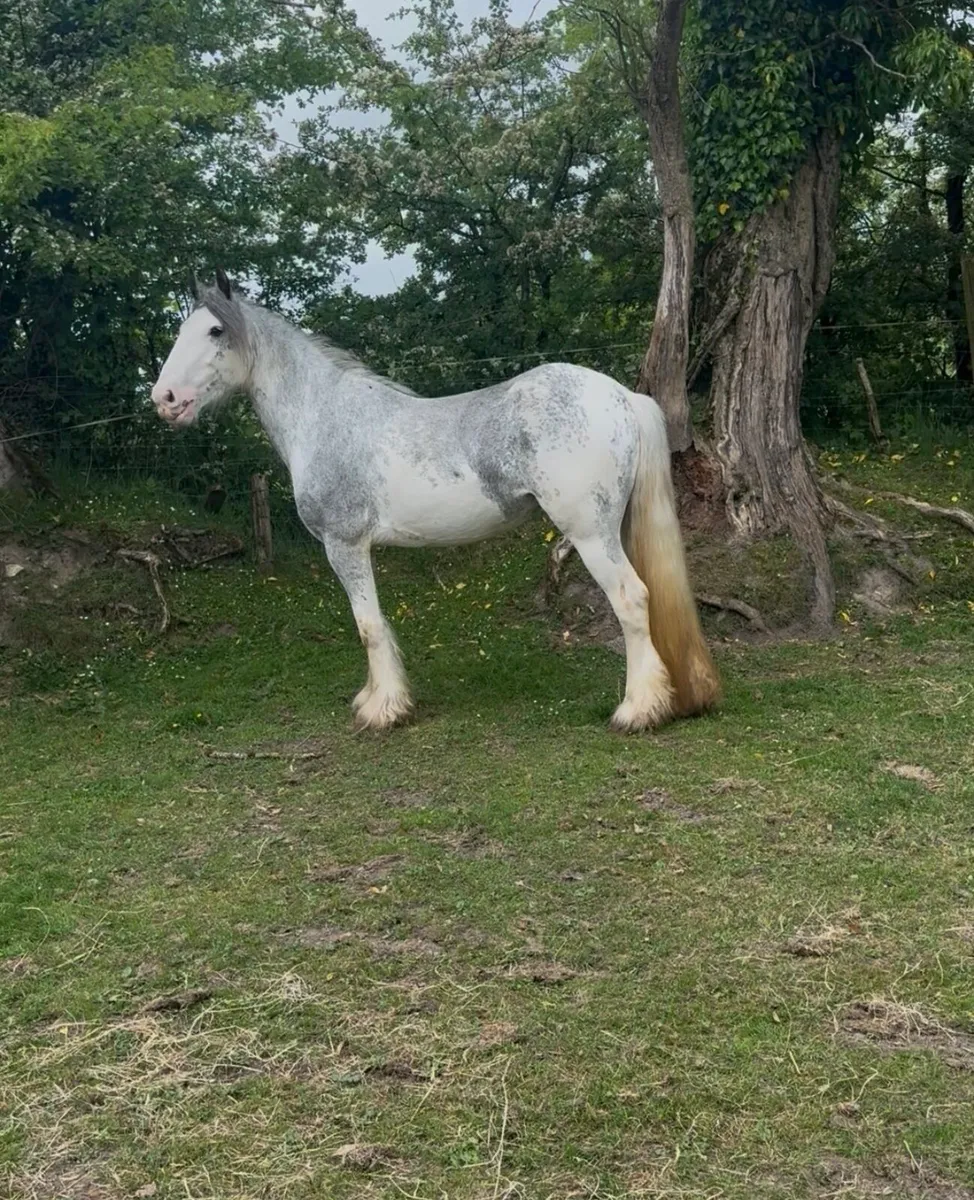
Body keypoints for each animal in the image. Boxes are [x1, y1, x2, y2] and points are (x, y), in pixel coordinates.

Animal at [150, 270, 720, 732]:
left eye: (215, 331)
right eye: (181, 330)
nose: (164, 399)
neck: (325, 416)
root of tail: (620, 396)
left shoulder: (344, 545)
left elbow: (368, 626)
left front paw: (383, 710)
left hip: (590, 535)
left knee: (632, 600)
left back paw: (637, 710)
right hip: (614, 528)